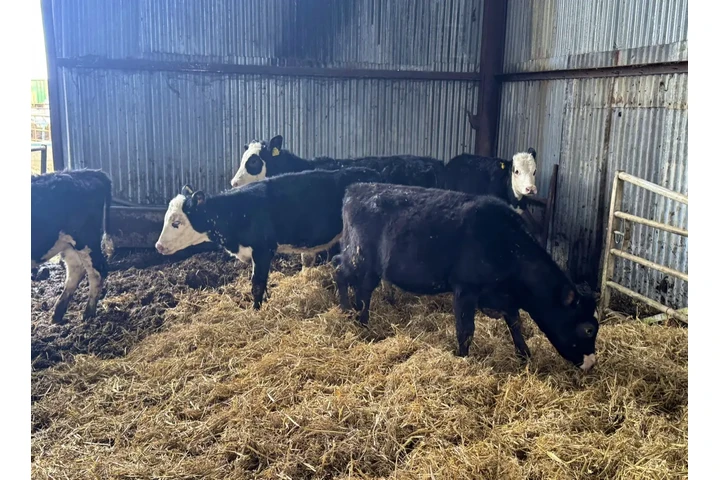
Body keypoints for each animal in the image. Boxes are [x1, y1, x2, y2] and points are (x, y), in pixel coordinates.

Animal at [31, 170, 114, 324]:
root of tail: (88, 172)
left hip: (85, 238)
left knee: (97, 271)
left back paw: (88, 314)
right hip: (67, 244)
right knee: (75, 270)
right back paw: (57, 314)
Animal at [331, 183, 598, 371]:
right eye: (588, 330)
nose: (591, 363)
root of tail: (357, 188)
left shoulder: (505, 296)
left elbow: (515, 322)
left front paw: (524, 354)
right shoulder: (466, 288)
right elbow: (466, 329)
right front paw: (462, 359)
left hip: (364, 262)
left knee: (354, 283)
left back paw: (356, 317)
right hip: (360, 257)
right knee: (346, 278)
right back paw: (352, 316)